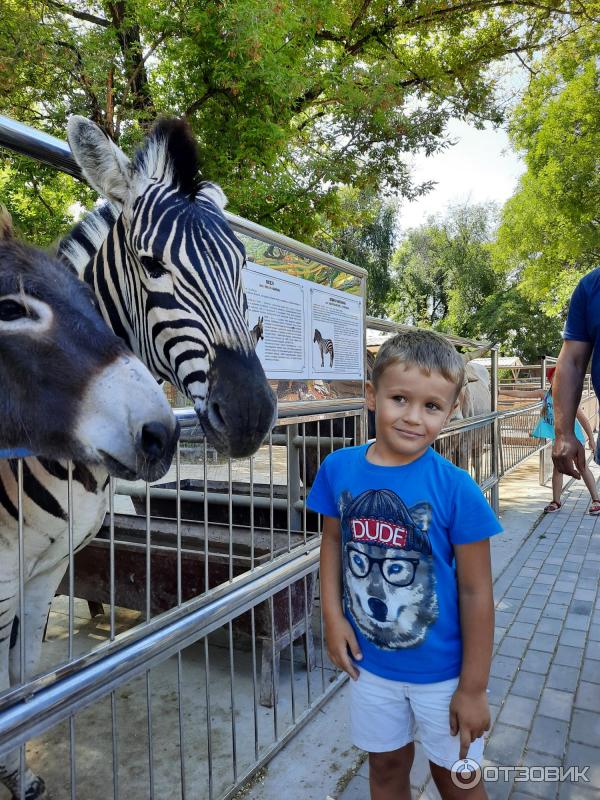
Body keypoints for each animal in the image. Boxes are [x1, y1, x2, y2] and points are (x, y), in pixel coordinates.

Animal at [0, 209, 178, 796]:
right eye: (9, 309)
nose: (163, 434)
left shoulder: (44, 567)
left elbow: (22, 678)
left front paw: (19, 775)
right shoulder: (3, 575)